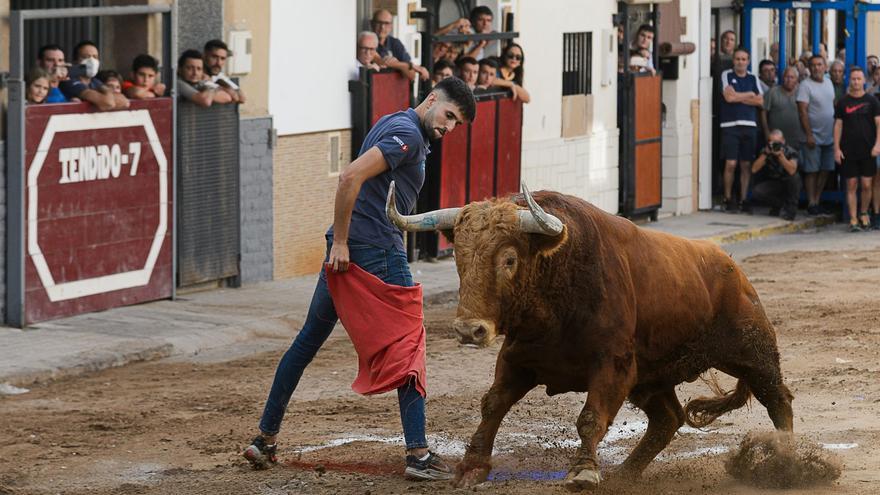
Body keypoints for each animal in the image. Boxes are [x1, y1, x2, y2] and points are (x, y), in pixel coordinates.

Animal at [388, 183, 796, 492]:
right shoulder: (517, 359)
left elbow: (590, 416)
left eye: (509, 259)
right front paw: (473, 467)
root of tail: (731, 268)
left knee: (778, 400)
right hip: (650, 378)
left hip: (753, 353)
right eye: (460, 257)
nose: (469, 330)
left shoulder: (613, 365)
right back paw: (626, 474)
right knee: (668, 419)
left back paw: (789, 463)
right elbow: (493, 405)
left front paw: (583, 470)